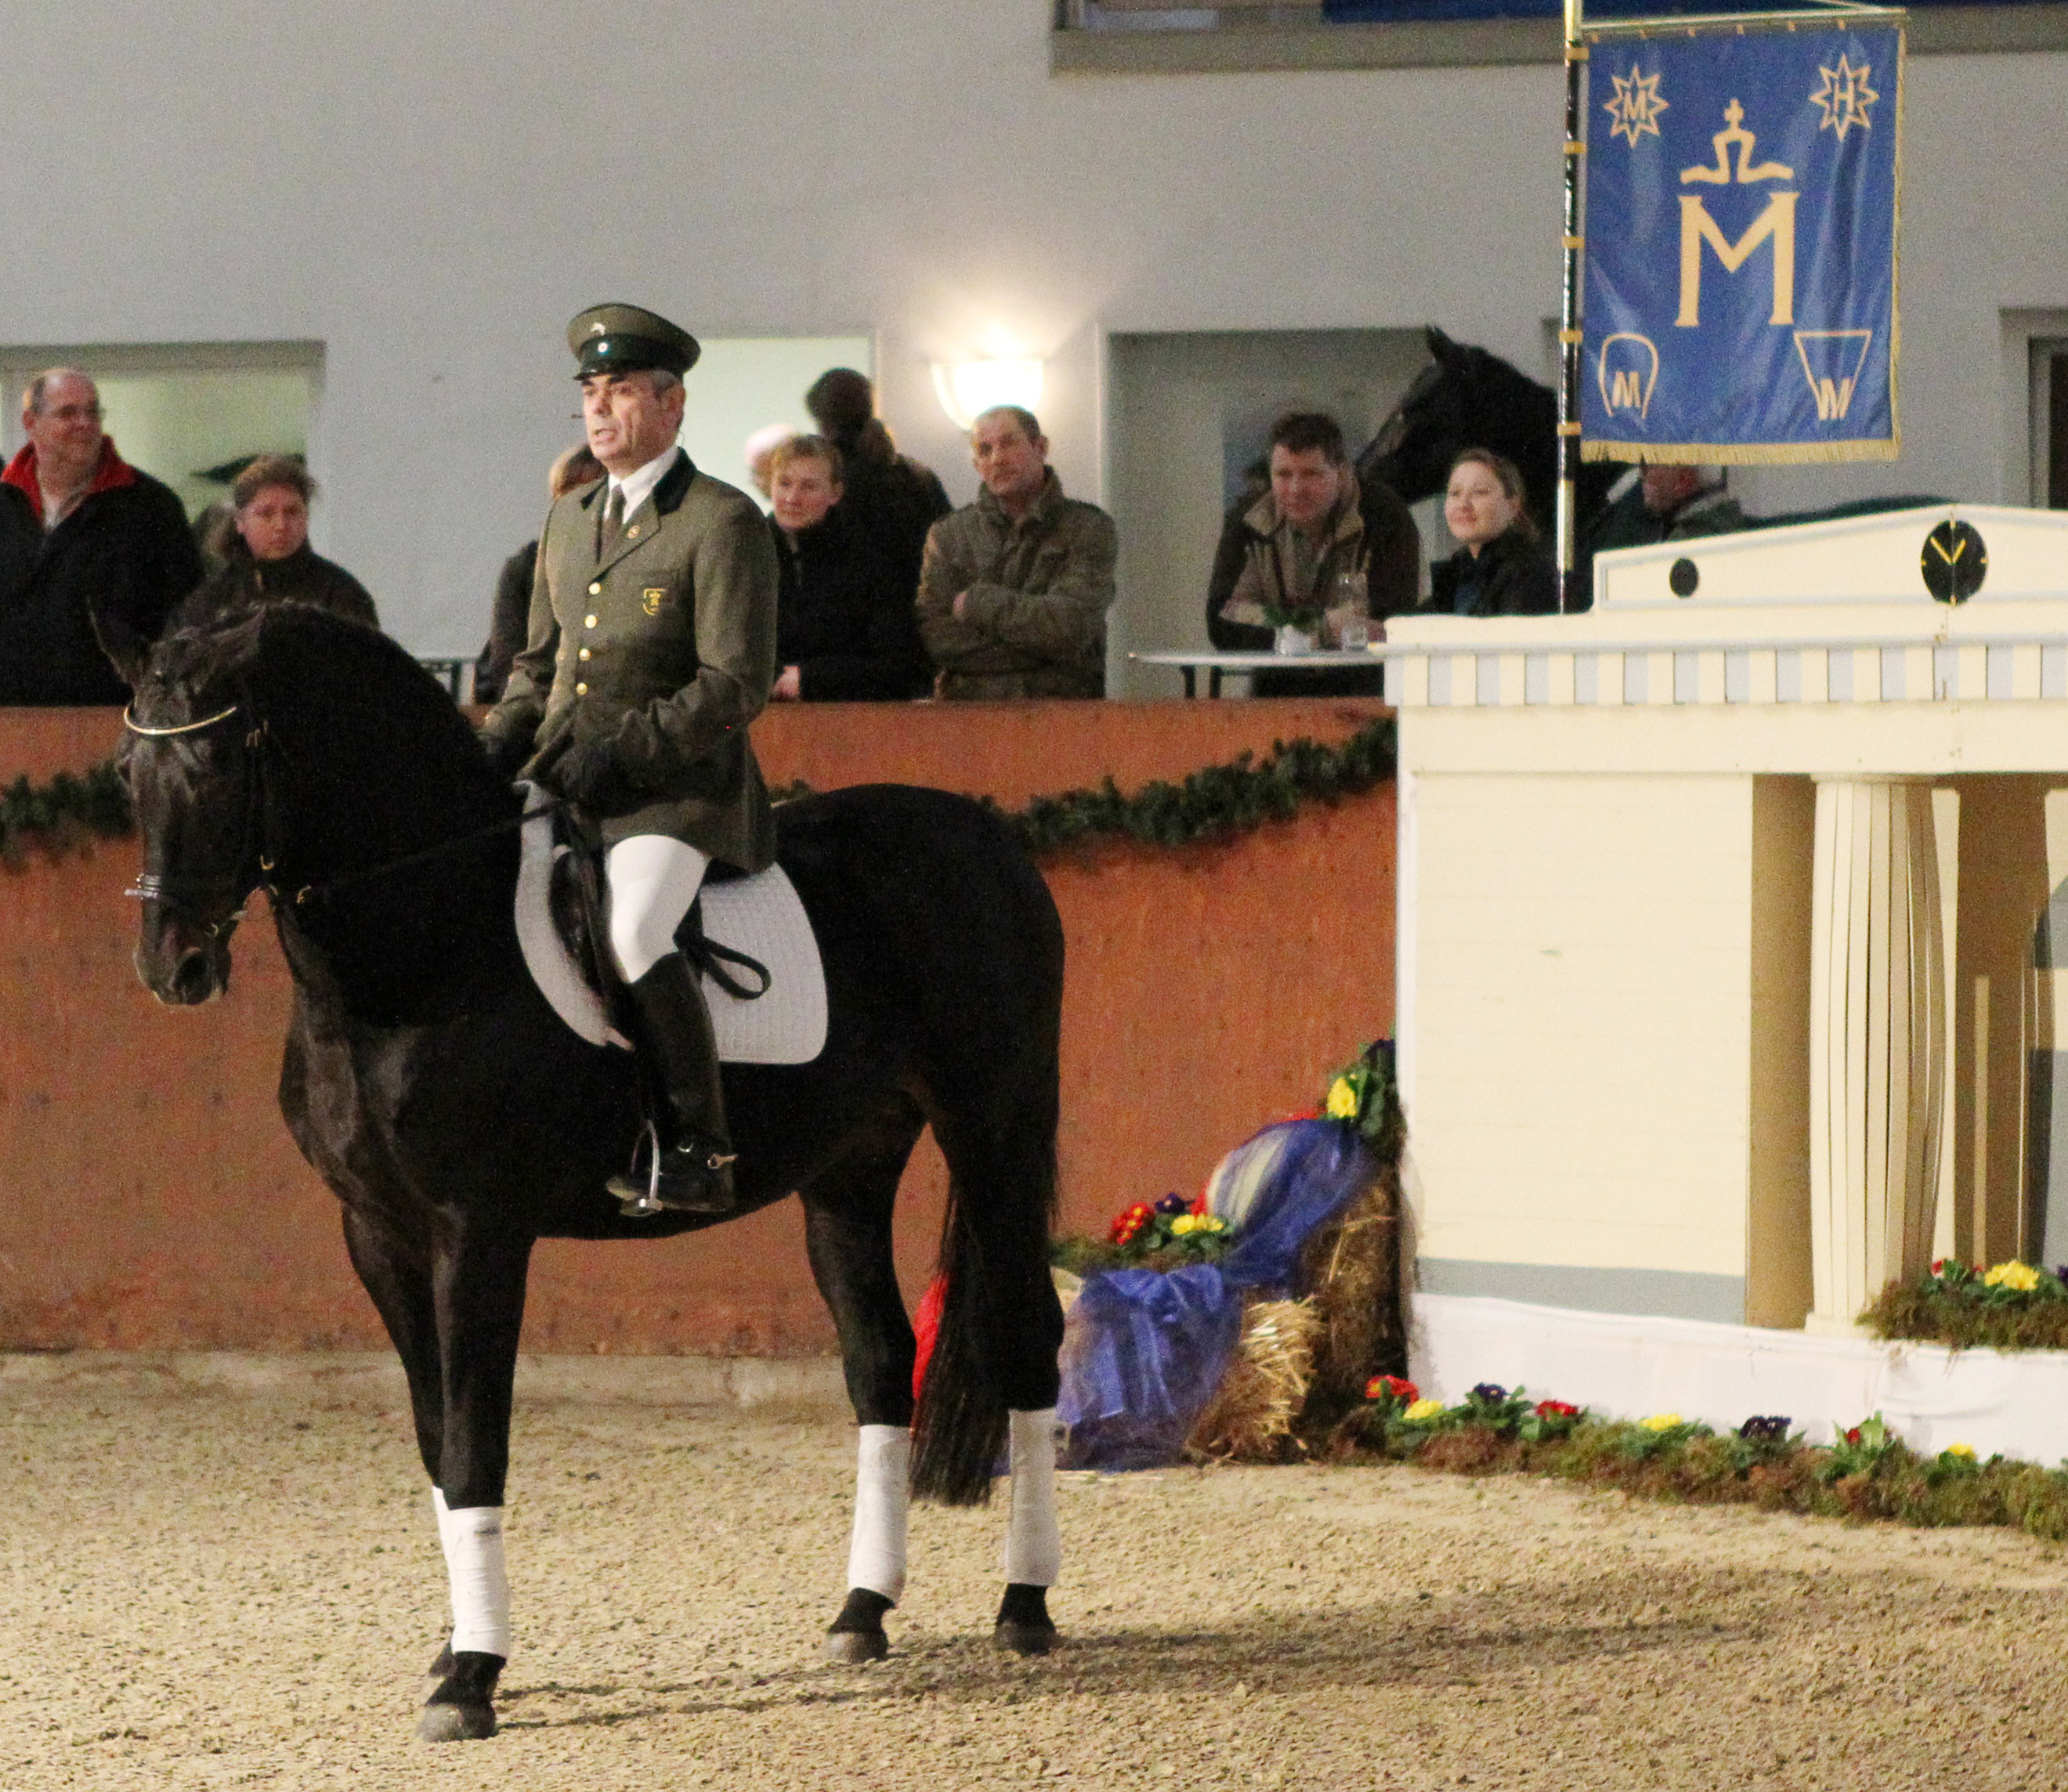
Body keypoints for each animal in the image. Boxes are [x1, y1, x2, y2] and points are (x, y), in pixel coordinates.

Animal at [117, 607, 1067, 1744]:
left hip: (996, 1128)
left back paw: (1024, 1606)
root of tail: (989, 836)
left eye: (220, 764)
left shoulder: (479, 1229)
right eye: (128, 770)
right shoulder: (378, 1235)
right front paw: (458, 1645)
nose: (172, 967)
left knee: (1026, 1342)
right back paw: (861, 1613)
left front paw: (472, 1677)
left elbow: (476, 1440)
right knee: (881, 1363)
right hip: (850, 1167)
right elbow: (436, 1439)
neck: (423, 943)